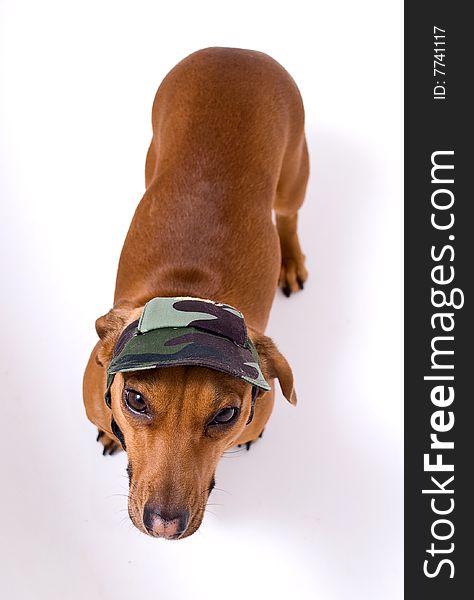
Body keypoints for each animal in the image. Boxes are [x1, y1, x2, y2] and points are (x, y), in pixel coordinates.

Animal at [83, 48, 310, 540]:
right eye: (135, 400)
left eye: (226, 415)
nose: (164, 525)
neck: (189, 293)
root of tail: (235, 52)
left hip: (295, 174)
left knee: (288, 216)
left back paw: (291, 259)